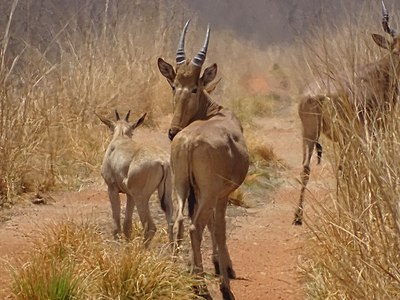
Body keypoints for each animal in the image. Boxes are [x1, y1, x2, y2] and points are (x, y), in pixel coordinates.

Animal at [97, 110, 173, 244]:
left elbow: (116, 224)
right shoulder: (130, 194)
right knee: (173, 224)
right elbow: (127, 225)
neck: (121, 137)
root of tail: (163, 161)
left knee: (150, 227)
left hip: (141, 198)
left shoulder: (112, 189)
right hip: (166, 196)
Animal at [157, 20, 248, 300]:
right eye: (174, 85)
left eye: (193, 87)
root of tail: (188, 141)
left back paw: (179, 274)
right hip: (208, 192)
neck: (215, 112)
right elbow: (218, 229)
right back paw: (205, 289)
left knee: (178, 222)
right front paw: (224, 272)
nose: (172, 131)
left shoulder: (199, 192)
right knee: (195, 227)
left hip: (180, 186)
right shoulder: (221, 194)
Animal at [294, 0, 400, 225]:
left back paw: (298, 216)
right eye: (395, 51)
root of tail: (318, 94)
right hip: (343, 135)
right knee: (343, 167)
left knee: (306, 168)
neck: (376, 75)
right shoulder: (372, 131)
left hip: (309, 133)